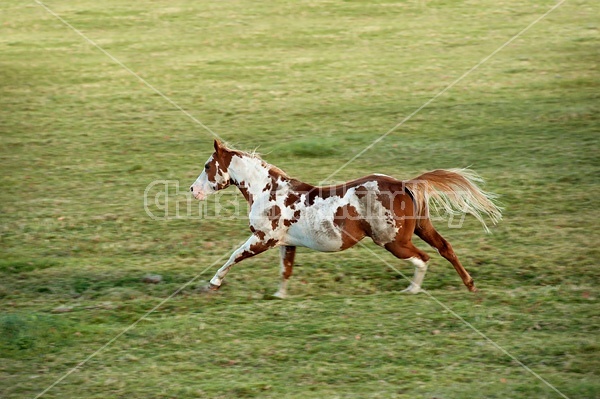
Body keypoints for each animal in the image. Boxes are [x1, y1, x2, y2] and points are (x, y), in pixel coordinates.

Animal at [190, 139, 500, 298]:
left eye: (207, 166)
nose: (193, 190)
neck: (268, 191)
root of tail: (403, 184)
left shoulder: (262, 239)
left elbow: (233, 256)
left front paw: (213, 283)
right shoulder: (286, 243)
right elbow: (285, 271)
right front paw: (279, 296)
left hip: (393, 242)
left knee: (423, 258)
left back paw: (412, 289)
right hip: (421, 229)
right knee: (445, 248)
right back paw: (470, 284)